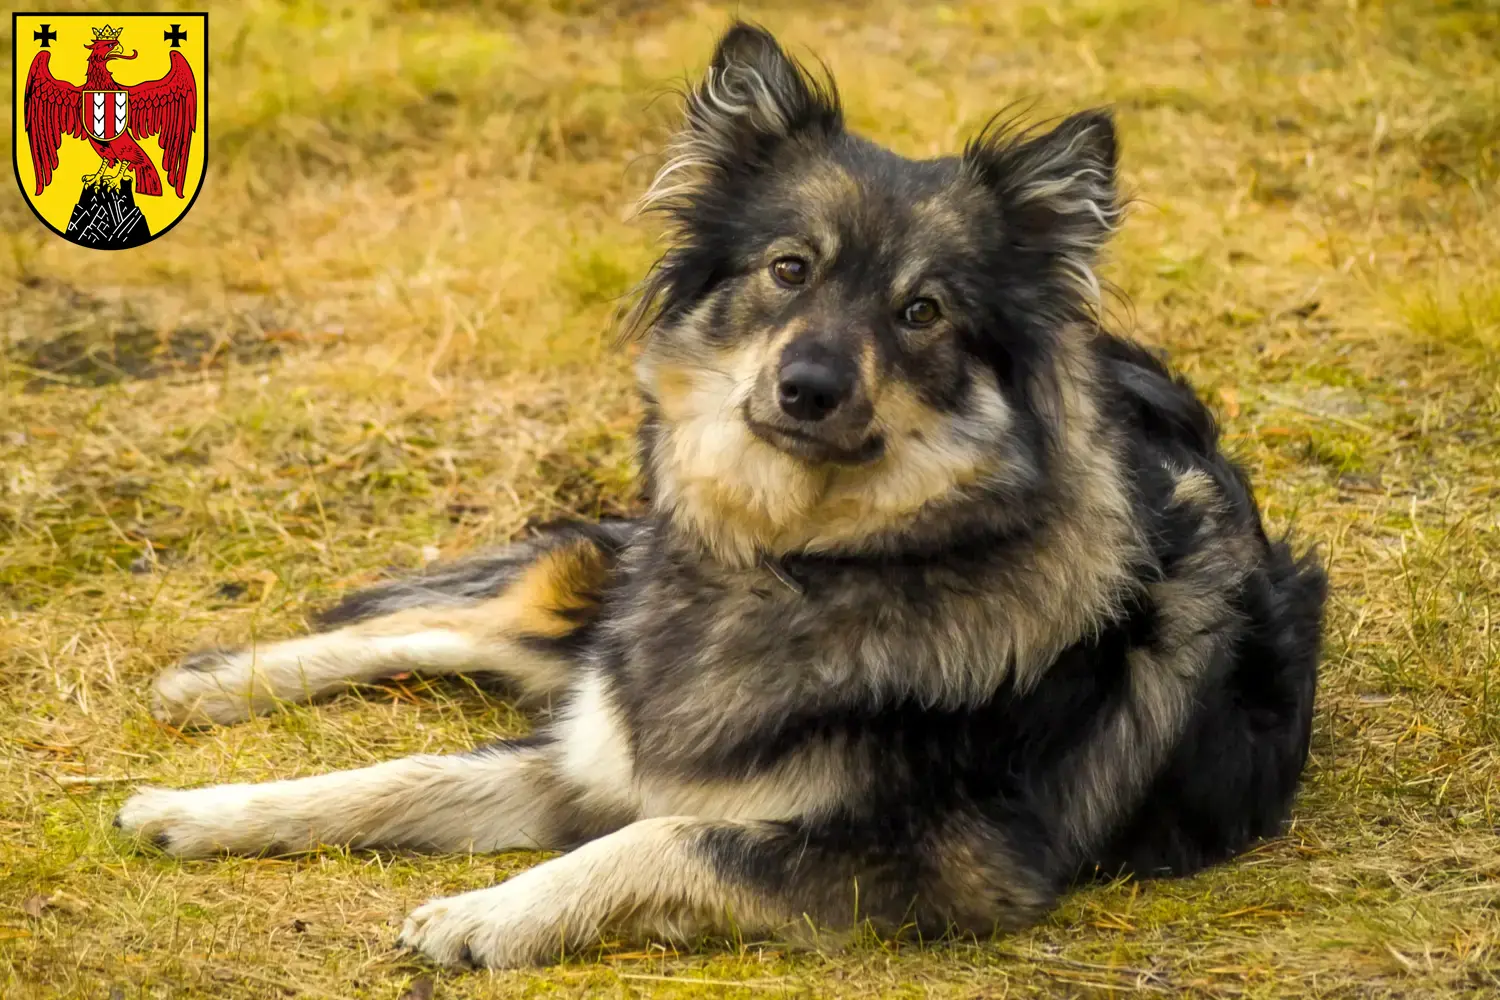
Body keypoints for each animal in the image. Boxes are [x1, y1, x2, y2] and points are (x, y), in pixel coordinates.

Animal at [117, 23, 1326, 971]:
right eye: (789, 268)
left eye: (923, 310)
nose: (809, 387)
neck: (797, 561)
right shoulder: (603, 750)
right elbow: (398, 776)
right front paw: (205, 811)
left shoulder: (940, 862)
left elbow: (658, 837)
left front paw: (484, 914)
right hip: (606, 622)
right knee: (482, 617)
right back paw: (213, 688)